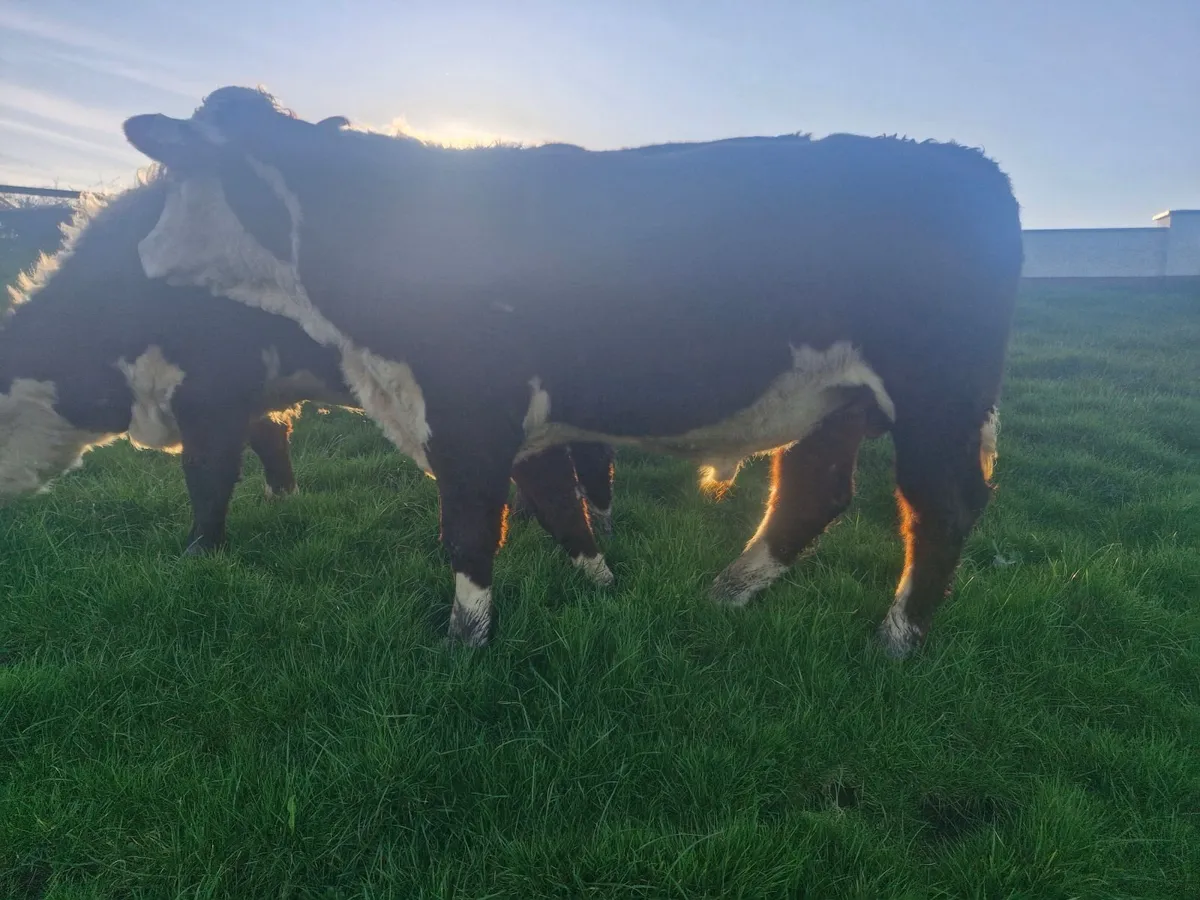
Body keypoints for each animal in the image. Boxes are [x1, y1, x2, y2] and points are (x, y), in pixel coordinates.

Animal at [1, 175, 615, 562]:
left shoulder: (212, 388)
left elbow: (207, 474)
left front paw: (200, 551)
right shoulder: (246, 391)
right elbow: (270, 440)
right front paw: (282, 500)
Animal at [121, 86, 1023, 657]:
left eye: (176, 175)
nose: (144, 256)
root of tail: (972, 165)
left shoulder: (470, 408)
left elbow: (470, 530)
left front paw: (464, 642)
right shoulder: (518, 422)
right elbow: (559, 508)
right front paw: (601, 587)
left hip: (937, 393)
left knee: (941, 506)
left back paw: (896, 640)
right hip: (833, 398)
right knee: (813, 493)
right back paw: (726, 594)